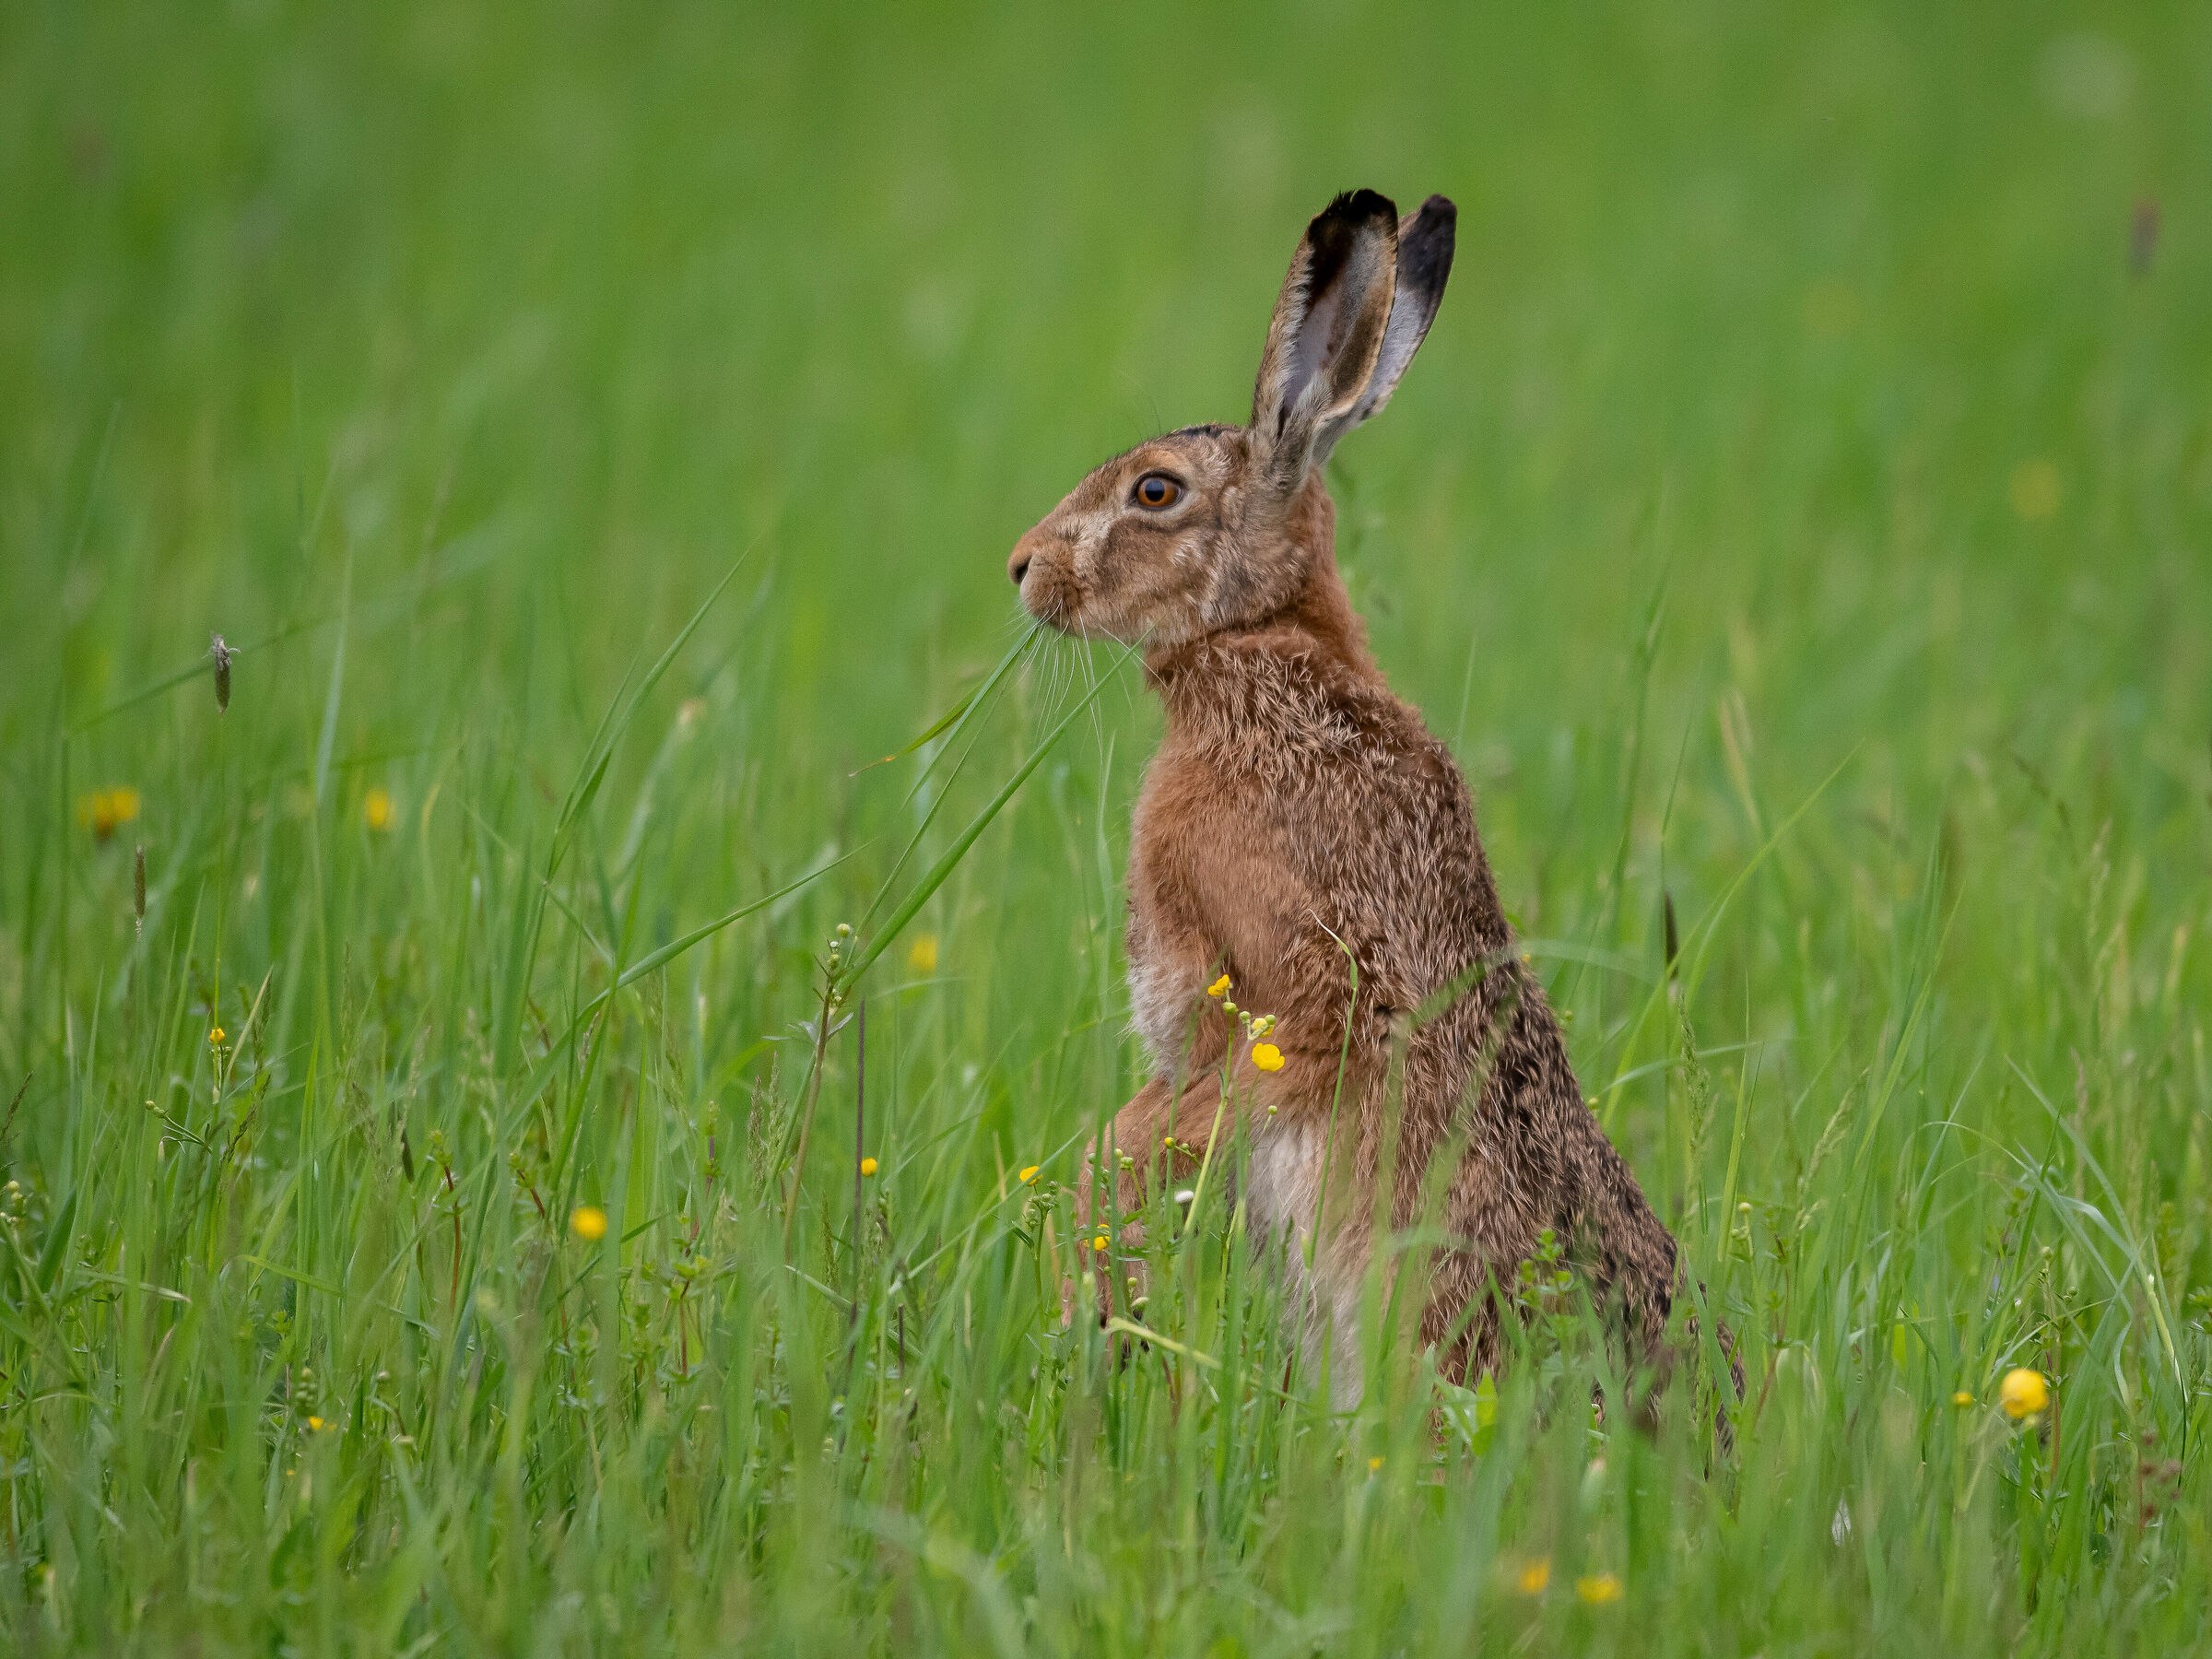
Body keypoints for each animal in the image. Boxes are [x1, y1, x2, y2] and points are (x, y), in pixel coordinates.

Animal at [1008, 188, 1735, 1419]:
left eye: (1155, 492)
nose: (1021, 567)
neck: (1258, 650)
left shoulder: (1295, 989)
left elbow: (1178, 1117)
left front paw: (1088, 1258)